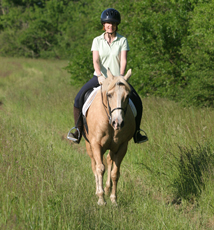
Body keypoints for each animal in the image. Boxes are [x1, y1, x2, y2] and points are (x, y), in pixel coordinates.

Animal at [84, 68, 135, 205]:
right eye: (109, 95)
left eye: (127, 96)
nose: (118, 123)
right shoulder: (96, 144)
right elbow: (100, 169)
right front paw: (101, 199)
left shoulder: (122, 146)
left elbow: (115, 173)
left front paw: (113, 200)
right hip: (90, 146)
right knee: (94, 165)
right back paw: (99, 191)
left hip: (112, 147)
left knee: (109, 160)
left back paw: (107, 188)